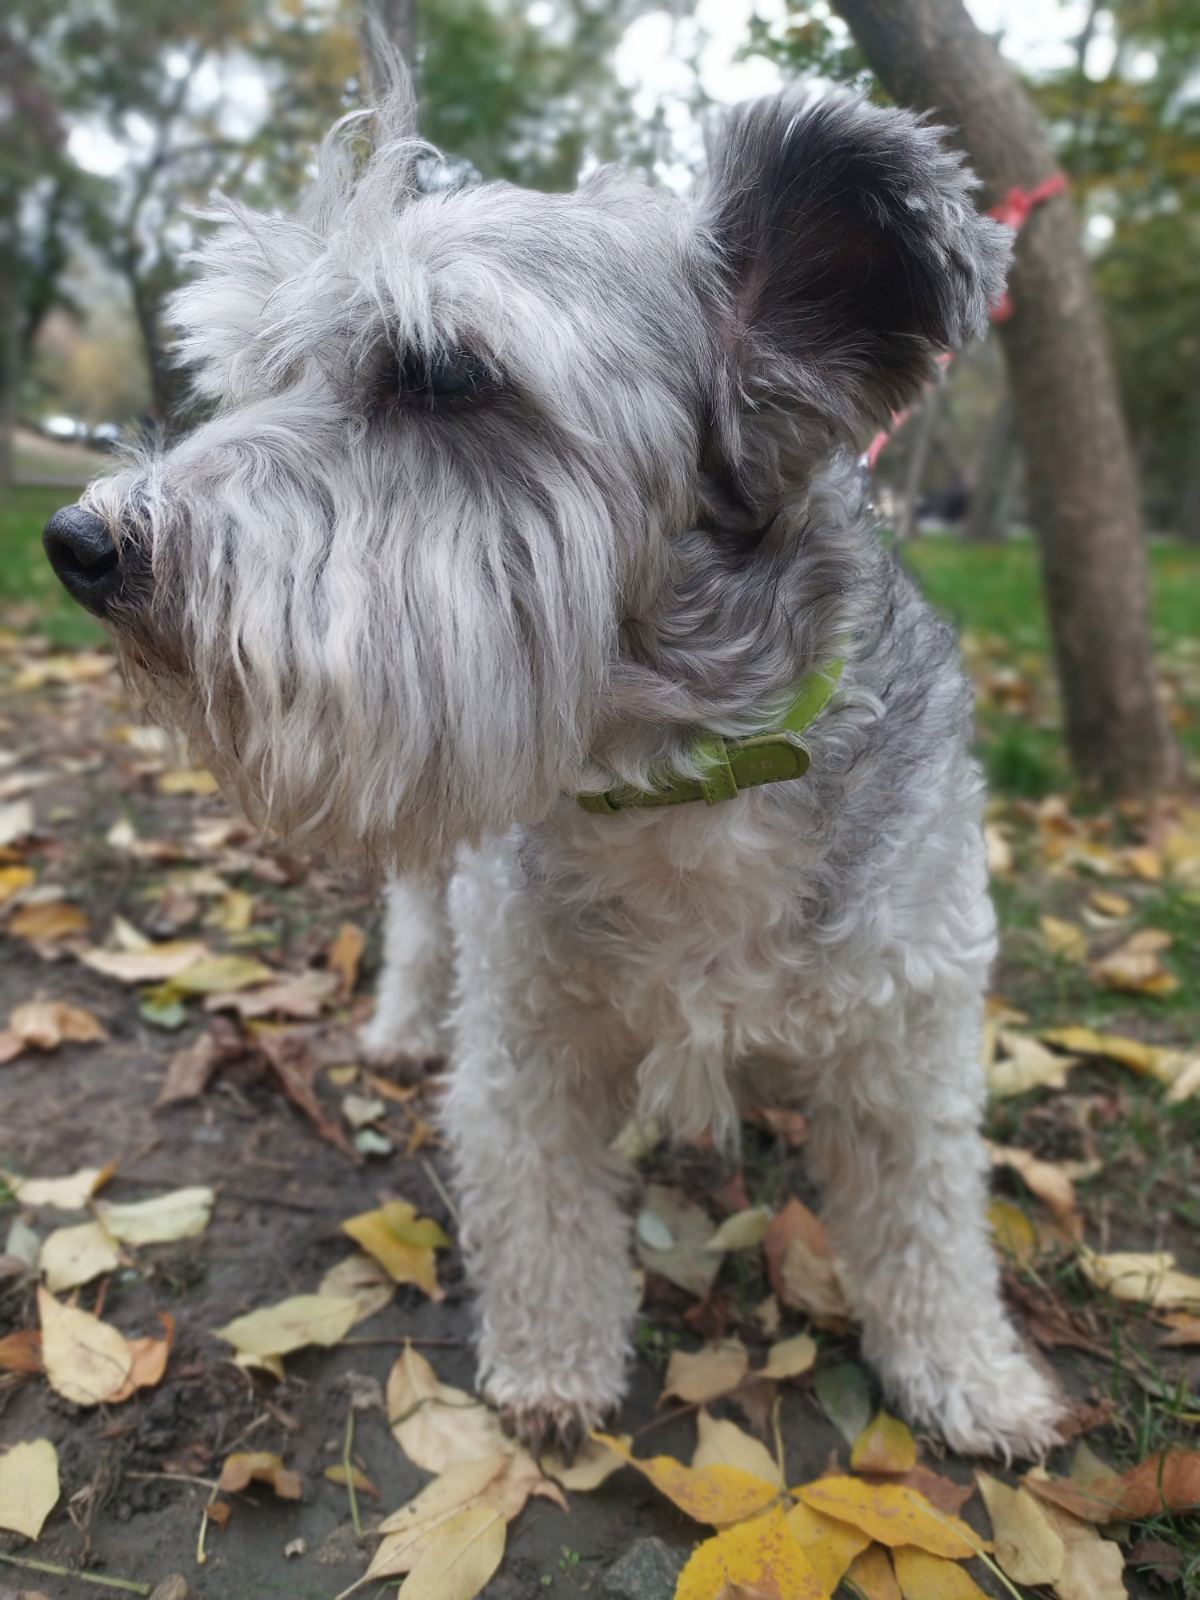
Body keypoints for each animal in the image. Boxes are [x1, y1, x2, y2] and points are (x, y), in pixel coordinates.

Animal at [44, 75, 1064, 1461]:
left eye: (440, 374)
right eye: (267, 371)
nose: (78, 542)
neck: (686, 784)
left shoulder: (907, 1042)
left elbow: (927, 1226)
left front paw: (967, 1372)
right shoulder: (527, 1038)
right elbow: (542, 1216)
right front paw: (551, 1365)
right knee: (420, 923)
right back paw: (402, 1022)